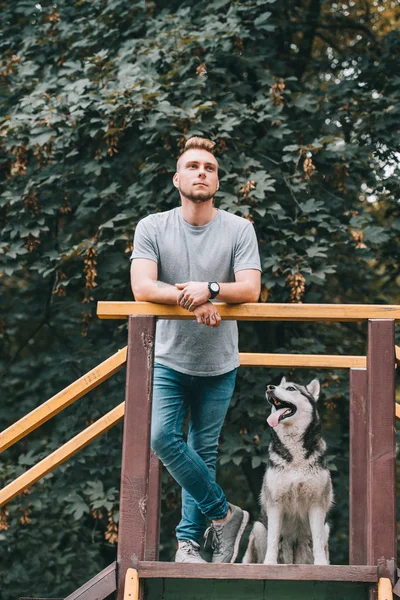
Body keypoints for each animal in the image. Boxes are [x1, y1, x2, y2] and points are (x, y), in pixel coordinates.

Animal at [242, 378, 332, 564]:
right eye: (277, 385)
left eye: (290, 388)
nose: (269, 387)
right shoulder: (275, 504)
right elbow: (273, 540)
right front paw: (270, 563)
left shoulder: (317, 504)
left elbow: (318, 541)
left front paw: (321, 564)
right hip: (259, 527)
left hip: (326, 527)